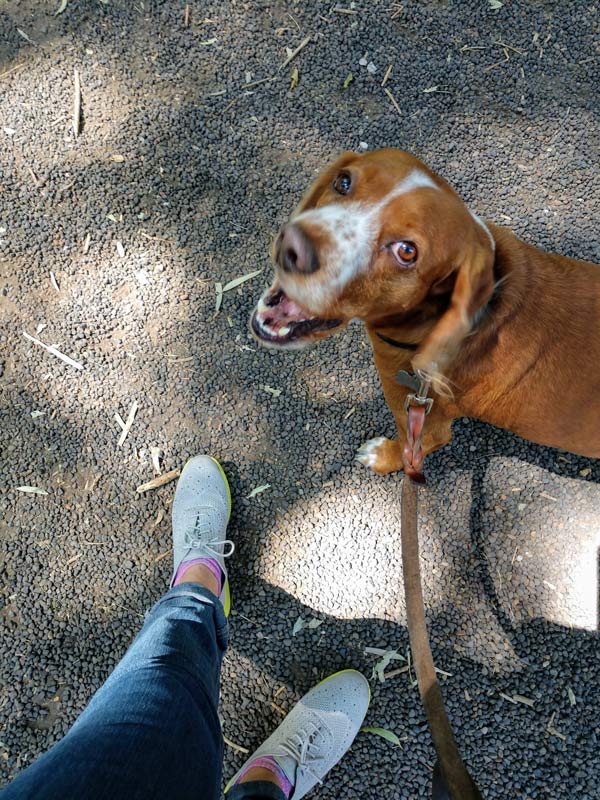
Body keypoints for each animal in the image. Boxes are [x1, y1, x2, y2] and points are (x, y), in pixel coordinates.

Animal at [250, 149, 600, 472]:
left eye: (407, 251)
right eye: (343, 181)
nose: (292, 246)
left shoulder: (423, 424)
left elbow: (408, 451)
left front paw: (381, 458)